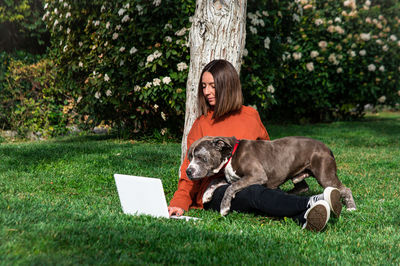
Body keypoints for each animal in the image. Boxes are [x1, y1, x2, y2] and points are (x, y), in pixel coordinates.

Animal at [185, 135, 356, 216]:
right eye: (190, 157)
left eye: (200, 157)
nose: (188, 171)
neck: (231, 154)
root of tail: (327, 148)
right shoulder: (229, 177)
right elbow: (215, 180)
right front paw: (207, 194)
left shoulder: (257, 175)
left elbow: (231, 187)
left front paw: (224, 207)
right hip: (298, 174)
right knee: (302, 187)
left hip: (325, 175)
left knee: (344, 189)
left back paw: (351, 207)